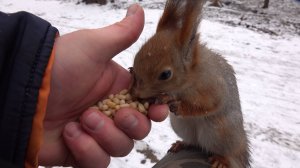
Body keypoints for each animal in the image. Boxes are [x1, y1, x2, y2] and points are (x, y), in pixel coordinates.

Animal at [129, 0, 251, 167]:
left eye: (165, 74)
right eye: (136, 57)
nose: (136, 93)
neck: (191, 77)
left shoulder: (212, 87)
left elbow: (208, 105)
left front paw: (176, 104)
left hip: (223, 131)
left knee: (228, 151)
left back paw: (222, 159)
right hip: (182, 126)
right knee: (194, 142)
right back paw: (182, 144)